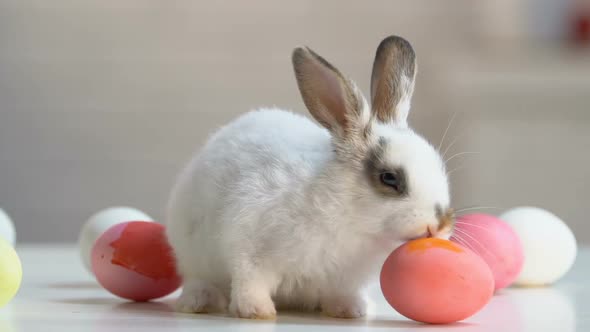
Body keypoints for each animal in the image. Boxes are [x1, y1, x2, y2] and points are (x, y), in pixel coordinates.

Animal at [166, 35, 454, 320]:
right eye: (389, 178)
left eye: (438, 165)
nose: (441, 224)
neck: (351, 220)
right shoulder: (249, 244)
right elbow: (250, 280)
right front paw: (257, 311)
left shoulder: (344, 280)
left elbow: (341, 294)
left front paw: (351, 310)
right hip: (192, 255)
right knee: (198, 279)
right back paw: (200, 301)